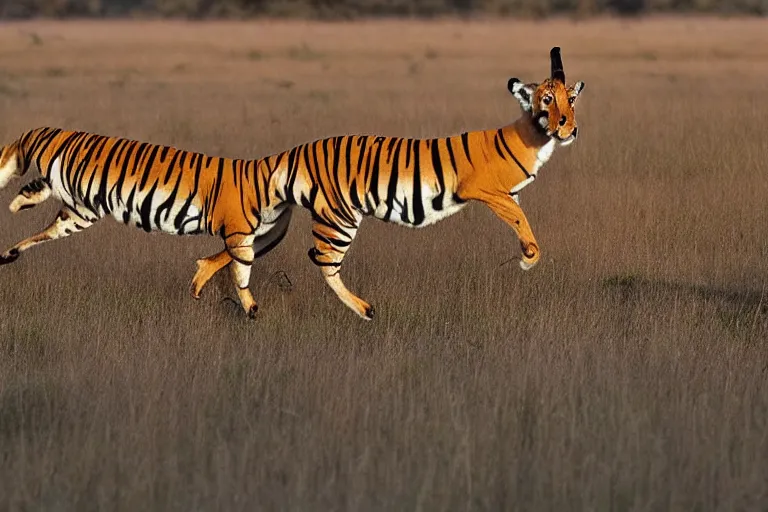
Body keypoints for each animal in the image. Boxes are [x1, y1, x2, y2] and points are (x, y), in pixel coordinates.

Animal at [0, 48, 584, 320]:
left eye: (570, 100)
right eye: (544, 100)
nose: (568, 129)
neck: (529, 135)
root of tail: (292, 151)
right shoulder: (490, 192)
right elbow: (522, 220)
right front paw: (527, 260)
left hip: (278, 221)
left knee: (236, 251)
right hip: (338, 218)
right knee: (318, 260)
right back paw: (358, 308)